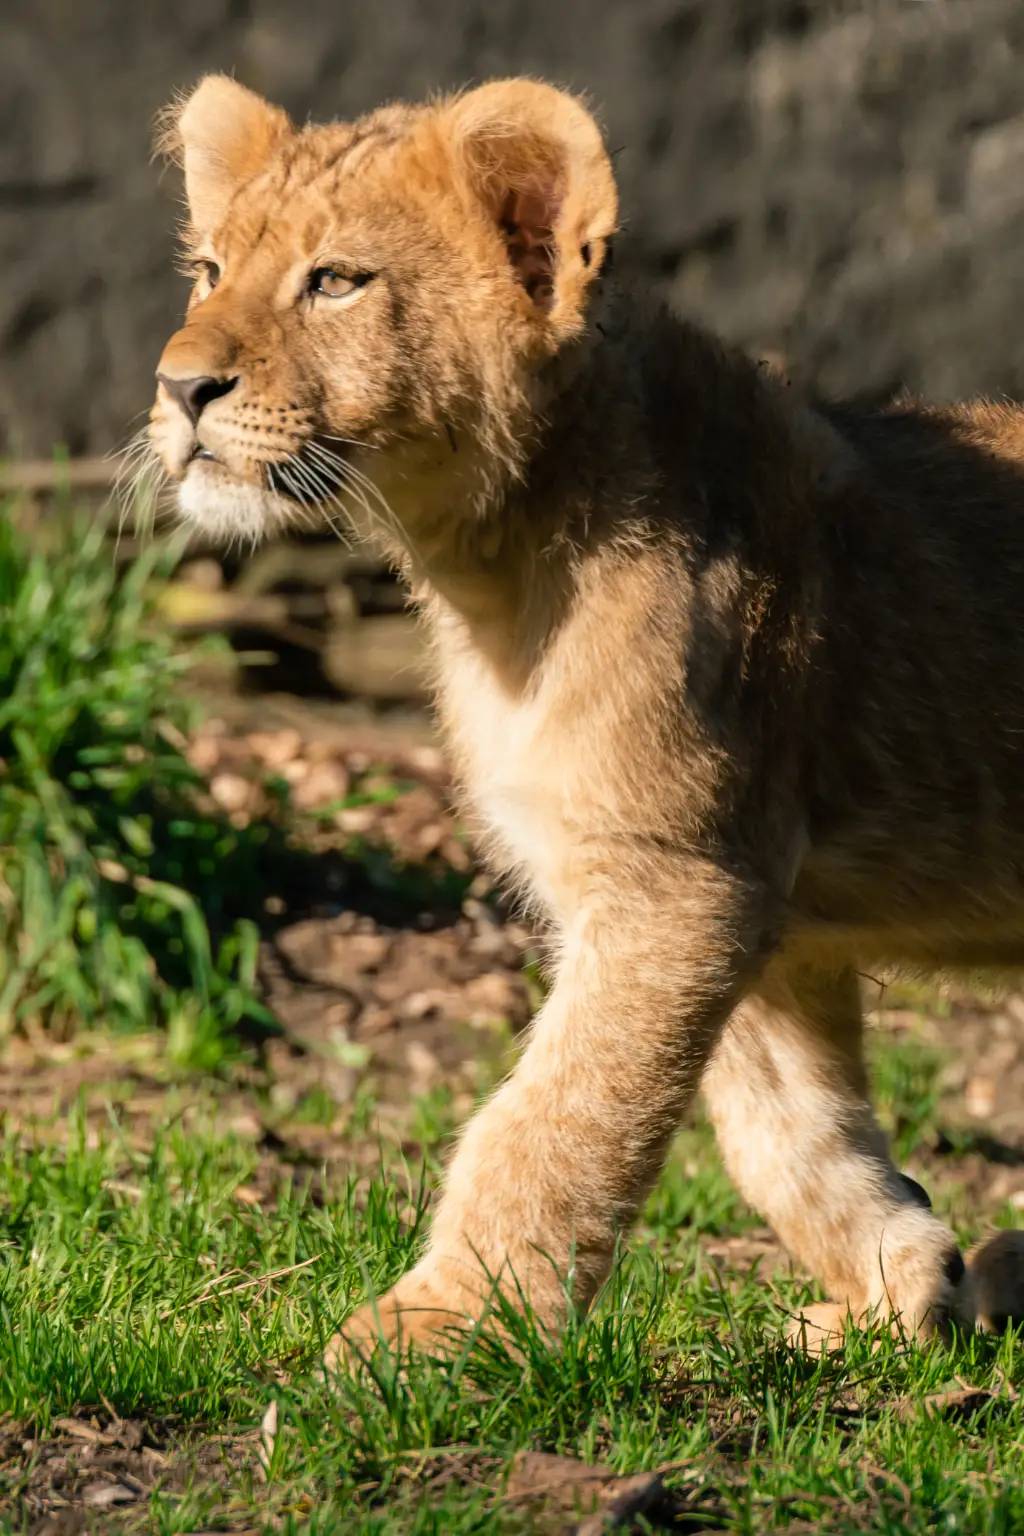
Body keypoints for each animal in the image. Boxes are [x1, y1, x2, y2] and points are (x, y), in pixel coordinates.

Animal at [149, 74, 1024, 1362]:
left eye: (336, 280)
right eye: (210, 270)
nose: (179, 389)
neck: (491, 568)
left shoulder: (675, 881)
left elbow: (556, 1118)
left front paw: (441, 1328)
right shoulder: (740, 890)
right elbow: (779, 1125)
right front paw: (899, 1281)